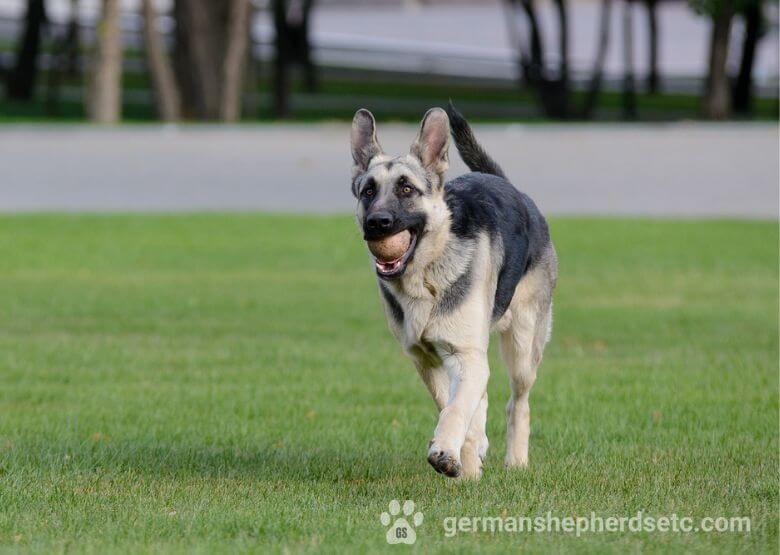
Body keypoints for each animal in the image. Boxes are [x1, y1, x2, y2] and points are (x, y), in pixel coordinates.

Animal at [350, 106, 556, 480]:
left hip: (522, 347)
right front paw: (466, 463)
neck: (425, 277)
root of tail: (507, 185)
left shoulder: (465, 355)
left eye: (406, 188)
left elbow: (456, 409)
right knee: (483, 400)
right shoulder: (426, 360)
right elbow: (453, 406)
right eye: (368, 191)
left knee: (518, 403)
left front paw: (446, 451)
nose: (377, 223)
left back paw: (517, 460)